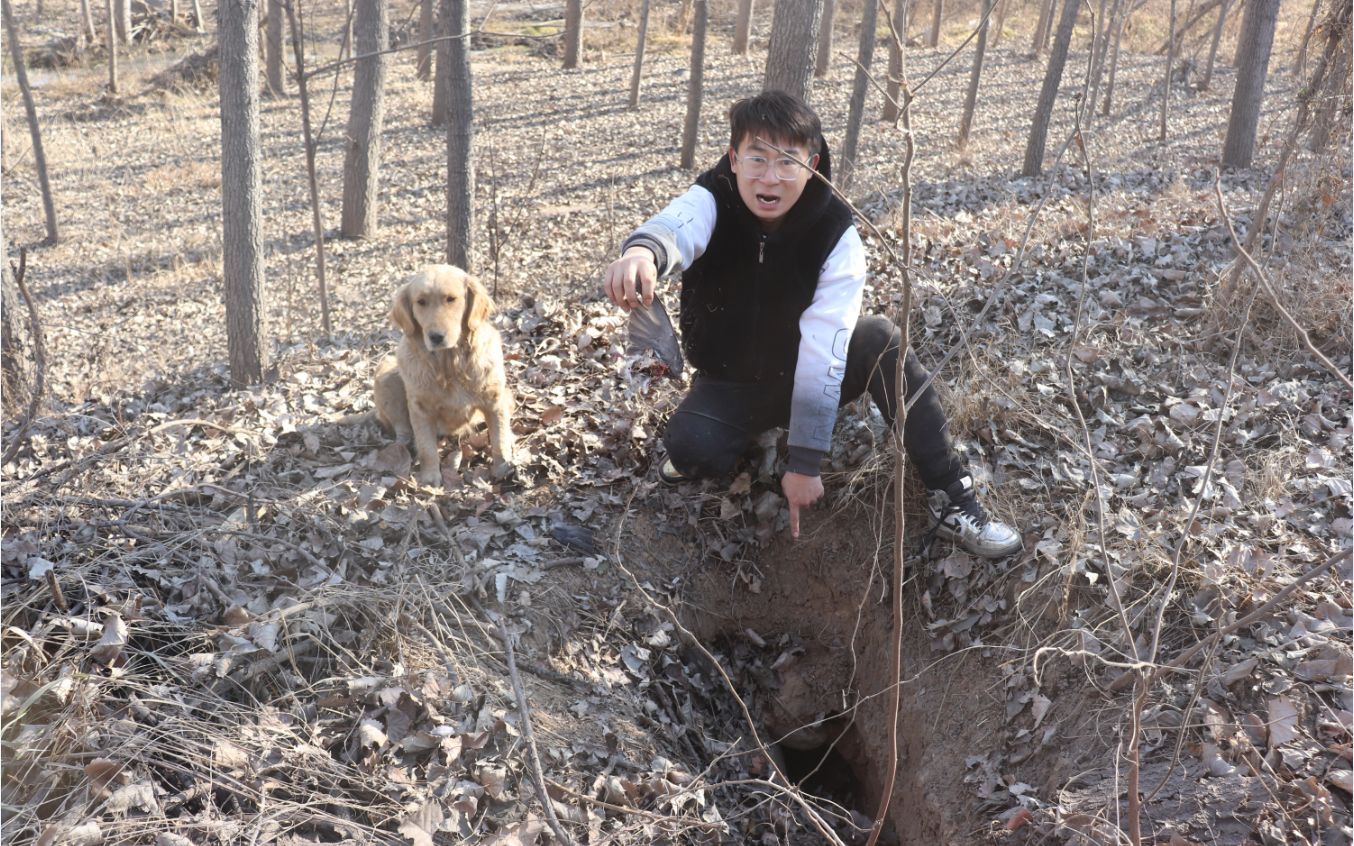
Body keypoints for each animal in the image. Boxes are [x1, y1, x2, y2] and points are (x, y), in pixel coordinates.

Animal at [373, 266, 514, 484]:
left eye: (451, 299)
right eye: (421, 302)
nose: (436, 337)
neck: (449, 363)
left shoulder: (494, 399)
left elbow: (500, 437)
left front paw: (502, 467)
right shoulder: (420, 408)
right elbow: (427, 448)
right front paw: (430, 478)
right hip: (385, 376)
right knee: (402, 430)